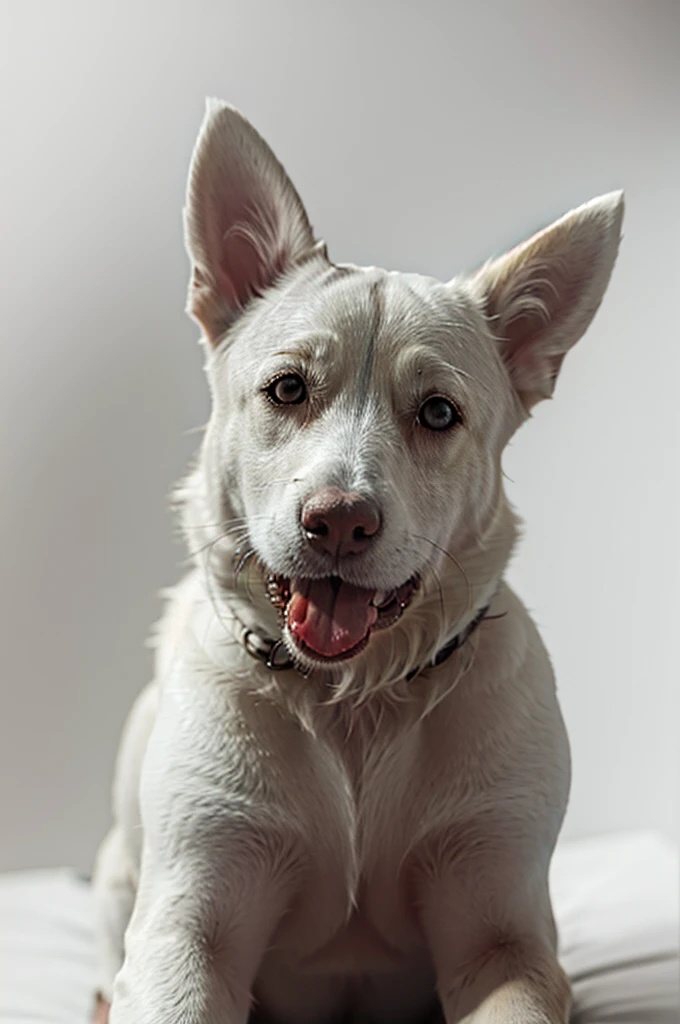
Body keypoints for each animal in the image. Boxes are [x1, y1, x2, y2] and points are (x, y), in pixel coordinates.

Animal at [93, 97, 622, 1024]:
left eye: (439, 412)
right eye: (287, 389)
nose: (339, 522)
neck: (353, 704)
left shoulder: (502, 935)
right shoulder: (191, 924)